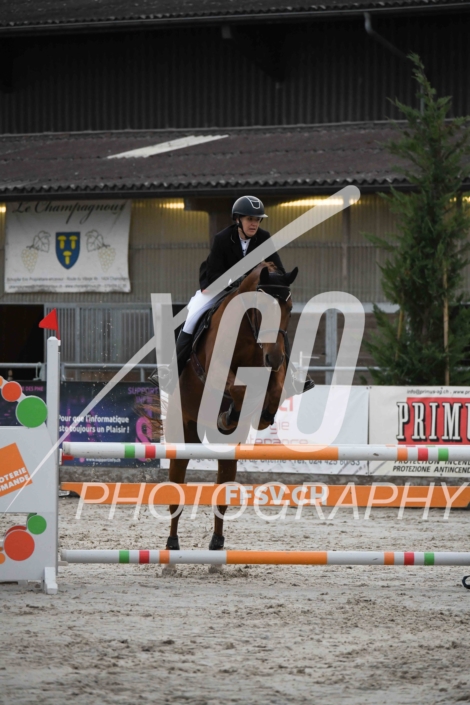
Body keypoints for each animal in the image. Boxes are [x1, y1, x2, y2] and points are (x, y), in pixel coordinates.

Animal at [164, 262, 298, 553]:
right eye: (262, 308)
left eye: (290, 308)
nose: (274, 357)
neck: (247, 331)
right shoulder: (215, 371)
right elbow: (238, 388)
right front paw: (230, 415)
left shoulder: (274, 370)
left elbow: (273, 390)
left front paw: (261, 415)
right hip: (182, 434)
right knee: (176, 489)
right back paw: (172, 543)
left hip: (226, 452)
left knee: (222, 492)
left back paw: (216, 542)